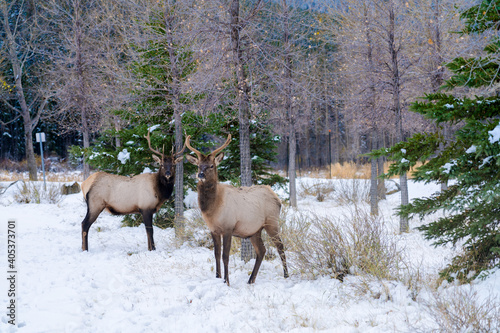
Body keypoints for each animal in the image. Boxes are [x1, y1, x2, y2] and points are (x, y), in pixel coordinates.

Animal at [185, 134, 290, 284]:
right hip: (255, 230)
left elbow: (225, 256)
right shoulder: (213, 230)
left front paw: (226, 281)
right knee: (262, 250)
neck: (212, 208)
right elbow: (216, 254)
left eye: (211, 165)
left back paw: (286, 275)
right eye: (198, 165)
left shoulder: (228, 227)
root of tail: (278, 199)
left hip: (272, 222)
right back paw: (251, 280)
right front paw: (218, 277)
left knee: (280, 246)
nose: (200, 175)